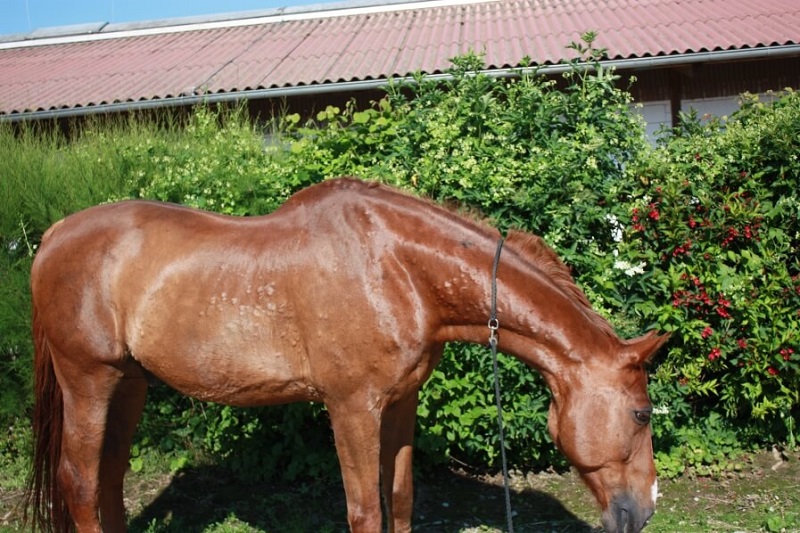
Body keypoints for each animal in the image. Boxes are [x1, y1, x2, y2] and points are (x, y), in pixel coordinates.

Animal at [24, 177, 668, 533]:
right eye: (641, 414)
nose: (644, 511)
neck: (398, 268)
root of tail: (53, 236)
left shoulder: (400, 404)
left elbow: (400, 501)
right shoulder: (352, 409)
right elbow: (365, 512)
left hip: (129, 385)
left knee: (109, 480)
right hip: (88, 381)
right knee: (79, 482)